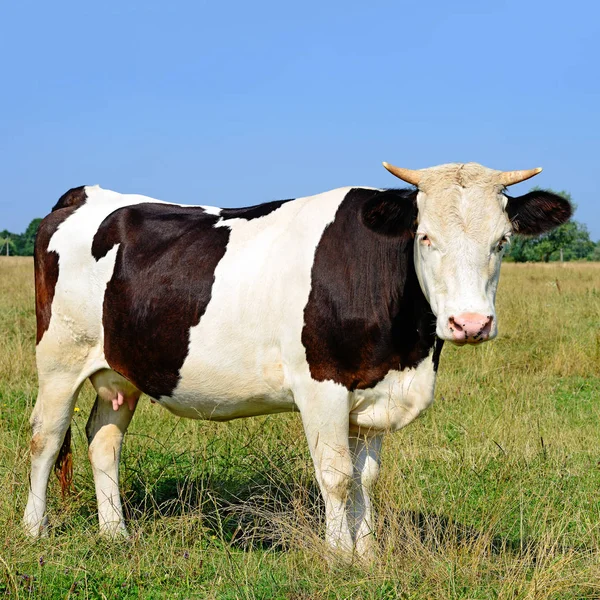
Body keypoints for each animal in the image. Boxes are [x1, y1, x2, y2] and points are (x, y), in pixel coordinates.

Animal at [24, 161, 572, 556]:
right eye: (425, 237)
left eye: (501, 241)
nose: (470, 324)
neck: (408, 350)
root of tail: (86, 194)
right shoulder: (322, 385)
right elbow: (336, 477)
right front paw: (338, 557)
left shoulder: (374, 392)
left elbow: (365, 480)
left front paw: (367, 555)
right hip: (59, 358)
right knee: (45, 438)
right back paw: (35, 531)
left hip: (122, 369)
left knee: (103, 439)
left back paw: (115, 533)